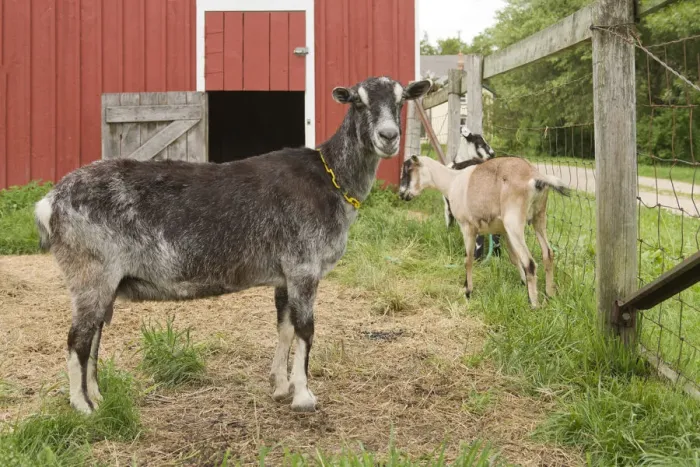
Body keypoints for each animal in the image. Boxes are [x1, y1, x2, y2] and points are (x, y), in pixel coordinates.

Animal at [34, 76, 432, 414]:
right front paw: (304, 396)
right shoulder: (304, 267)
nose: (388, 136)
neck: (329, 178)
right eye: (358, 102)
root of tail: (50, 202)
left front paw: (280, 386)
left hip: (104, 281)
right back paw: (83, 409)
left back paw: (98, 397)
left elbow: (284, 326)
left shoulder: (284, 274)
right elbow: (306, 329)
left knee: (94, 336)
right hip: (91, 272)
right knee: (77, 339)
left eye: (401, 100)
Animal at [399, 155, 569, 307]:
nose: (402, 194)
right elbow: (514, 258)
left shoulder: (467, 227)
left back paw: (534, 304)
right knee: (548, 253)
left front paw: (468, 291)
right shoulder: (503, 231)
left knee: (530, 263)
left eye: (408, 170)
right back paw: (549, 294)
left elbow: (468, 259)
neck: (452, 181)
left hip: (514, 221)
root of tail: (535, 177)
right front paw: (522, 283)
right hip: (538, 217)